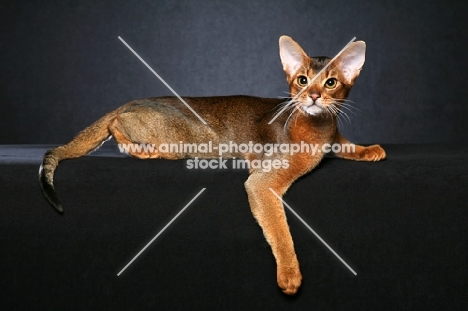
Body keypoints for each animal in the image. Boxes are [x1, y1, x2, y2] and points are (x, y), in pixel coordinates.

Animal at [39, 35, 384, 296]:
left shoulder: (332, 136)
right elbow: (280, 229)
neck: (317, 127)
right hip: (181, 139)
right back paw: (139, 149)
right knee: (116, 126)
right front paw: (289, 274)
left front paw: (369, 150)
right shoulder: (262, 182)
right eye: (302, 80)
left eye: (330, 83)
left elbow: (343, 144)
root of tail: (128, 102)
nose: (312, 96)